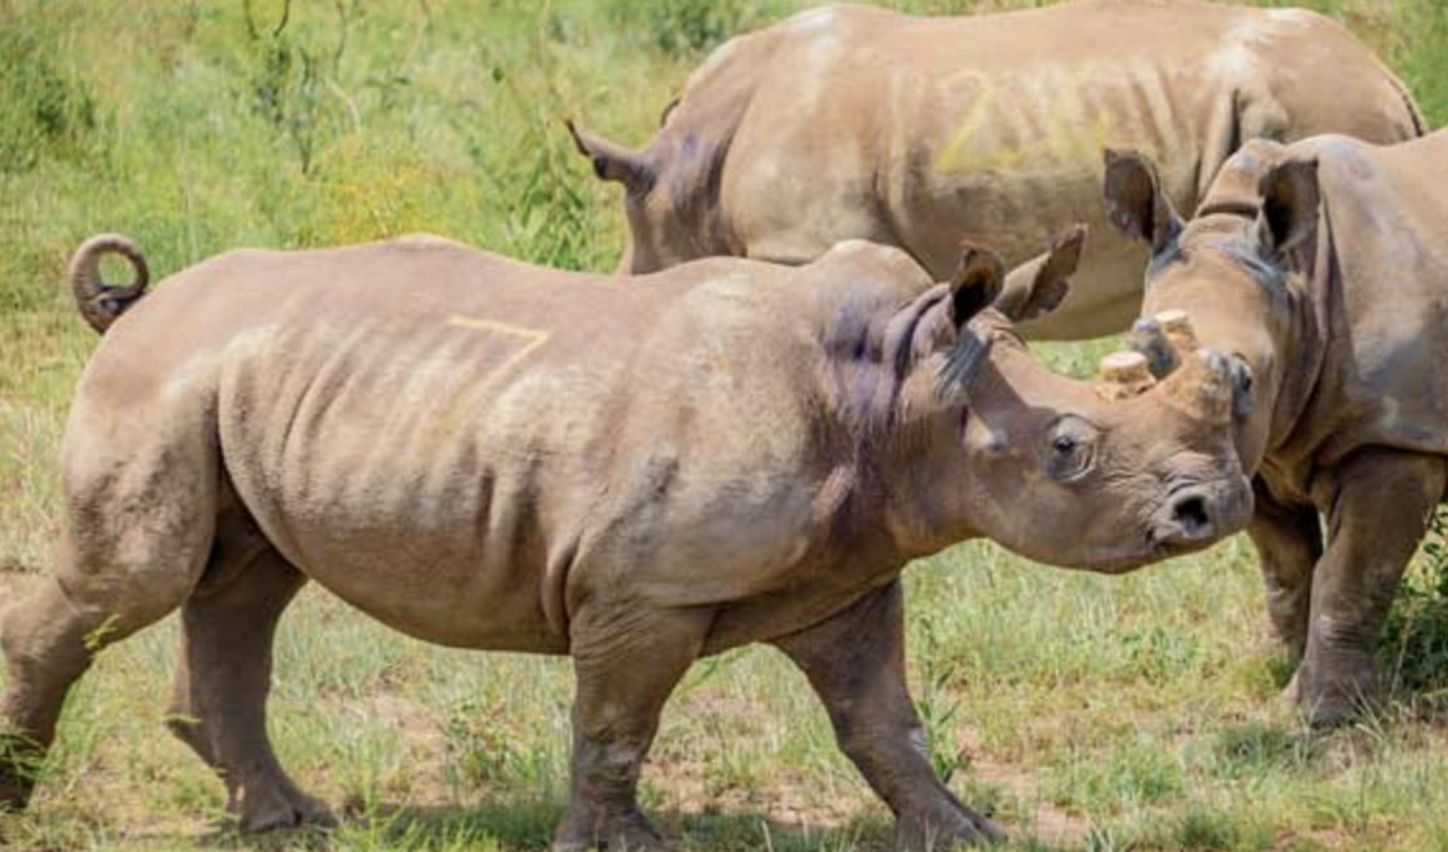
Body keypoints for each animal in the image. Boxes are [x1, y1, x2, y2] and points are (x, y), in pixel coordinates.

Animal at [1, 229, 1251, 849]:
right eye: (1066, 448)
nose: (1215, 507)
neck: (901, 386)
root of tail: (137, 307)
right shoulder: (643, 584)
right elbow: (616, 724)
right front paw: (619, 846)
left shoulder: (852, 575)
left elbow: (881, 723)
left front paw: (964, 832)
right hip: (162, 376)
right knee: (136, 581)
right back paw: (24, 795)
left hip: (249, 379)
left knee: (246, 583)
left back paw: (287, 822)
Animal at [1103, 126, 1448, 727]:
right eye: (1131, 380)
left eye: (1245, 379)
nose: (1180, 512)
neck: (1298, 288)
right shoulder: (1257, 452)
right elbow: (1286, 570)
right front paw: (1273, 669)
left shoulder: (1396, 439)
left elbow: (1351, 576)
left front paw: (1319, 715)